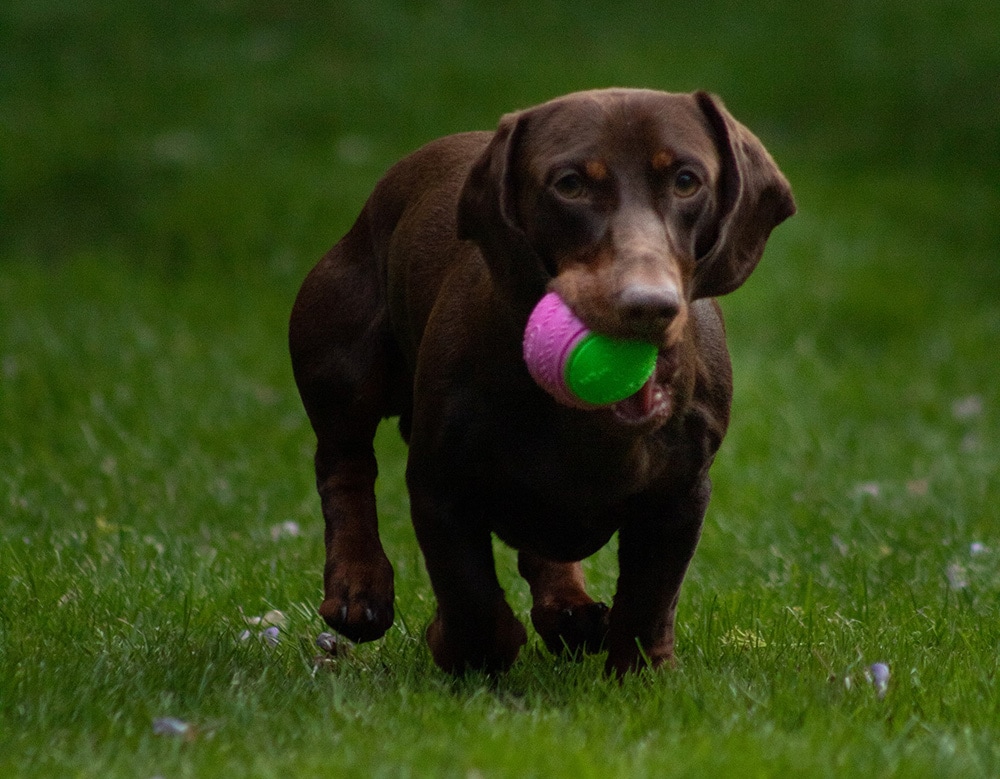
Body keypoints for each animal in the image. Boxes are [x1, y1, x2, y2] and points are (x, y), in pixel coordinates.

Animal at [290, 88, 796, 676]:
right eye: (569, 184)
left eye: (687, 180)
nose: (649, 307)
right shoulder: (440, 484)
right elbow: (471, 599)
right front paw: (456, 645)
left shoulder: (680, 493)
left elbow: (649, 600)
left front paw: (642, 675)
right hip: (339, 363)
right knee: (344, 466)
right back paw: (357, 588)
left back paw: (569, 609)